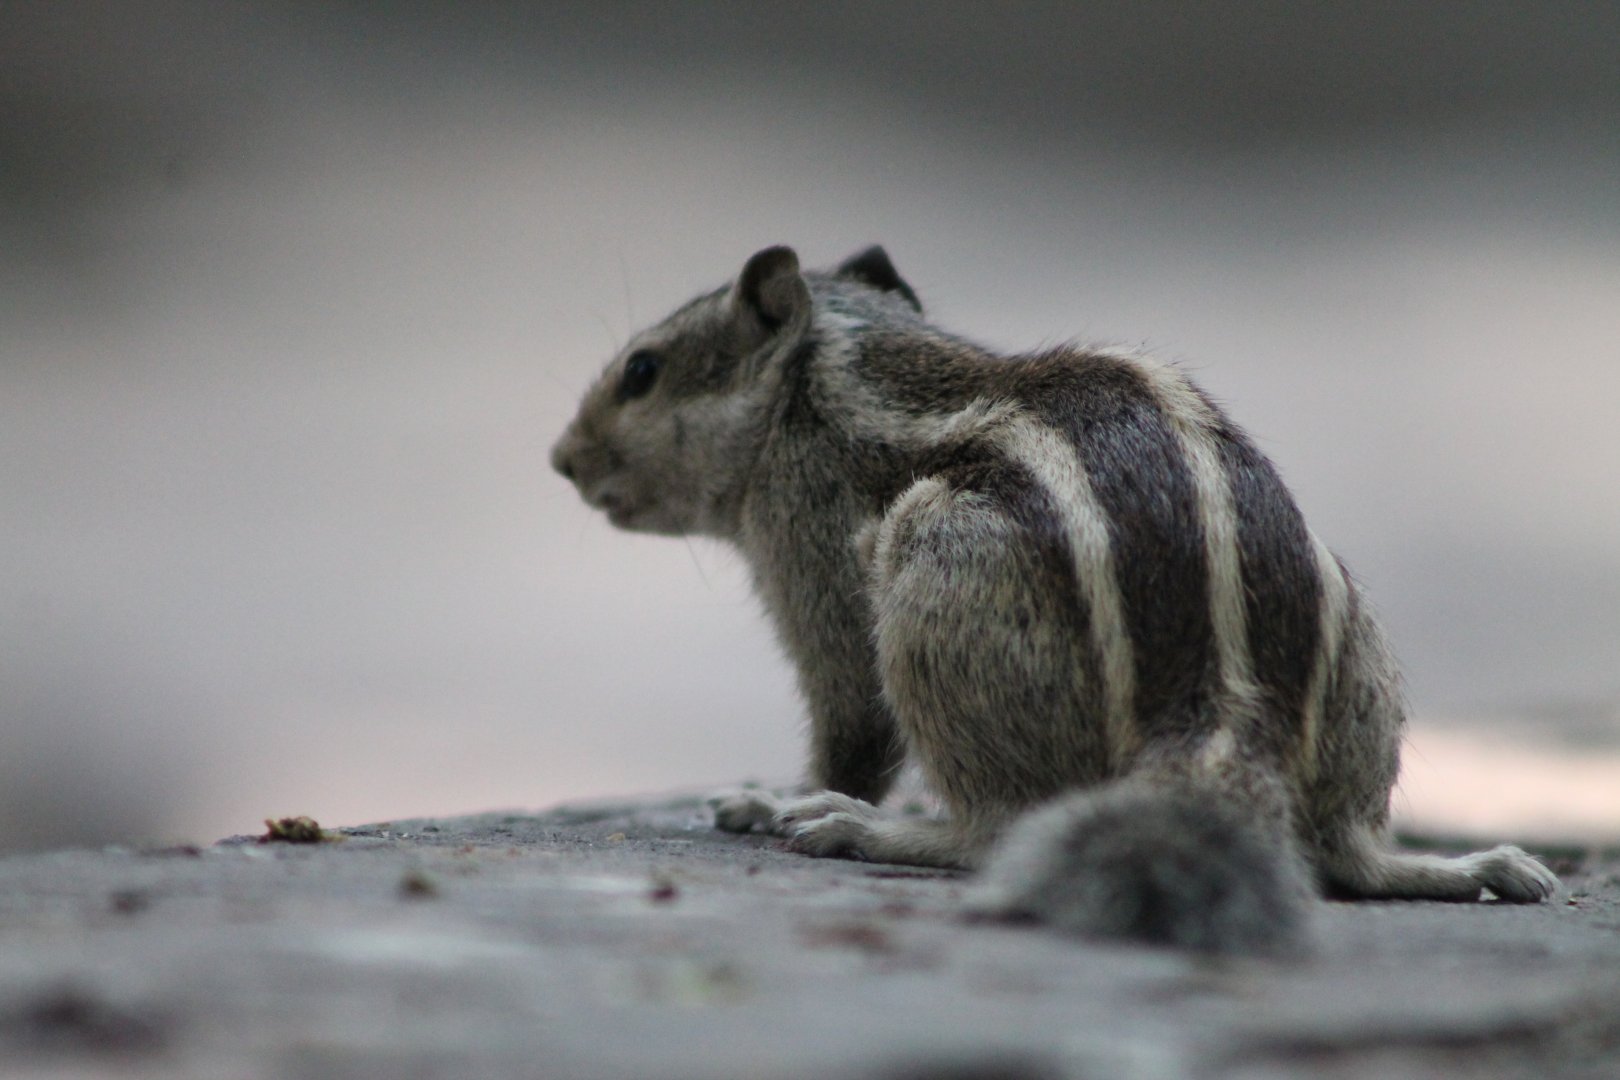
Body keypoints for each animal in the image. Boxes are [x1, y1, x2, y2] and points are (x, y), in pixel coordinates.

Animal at [551, 244, 1559, 954]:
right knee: (1344, 858)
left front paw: (772, 801)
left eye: (641, 372)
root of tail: (1219, 712)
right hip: (1358, 657)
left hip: (934, 571)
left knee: (994, 830)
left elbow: (850, 726)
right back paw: (1473, 865)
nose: (561, 459)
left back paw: (866, 831)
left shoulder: (810, 550)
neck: (823, 383)